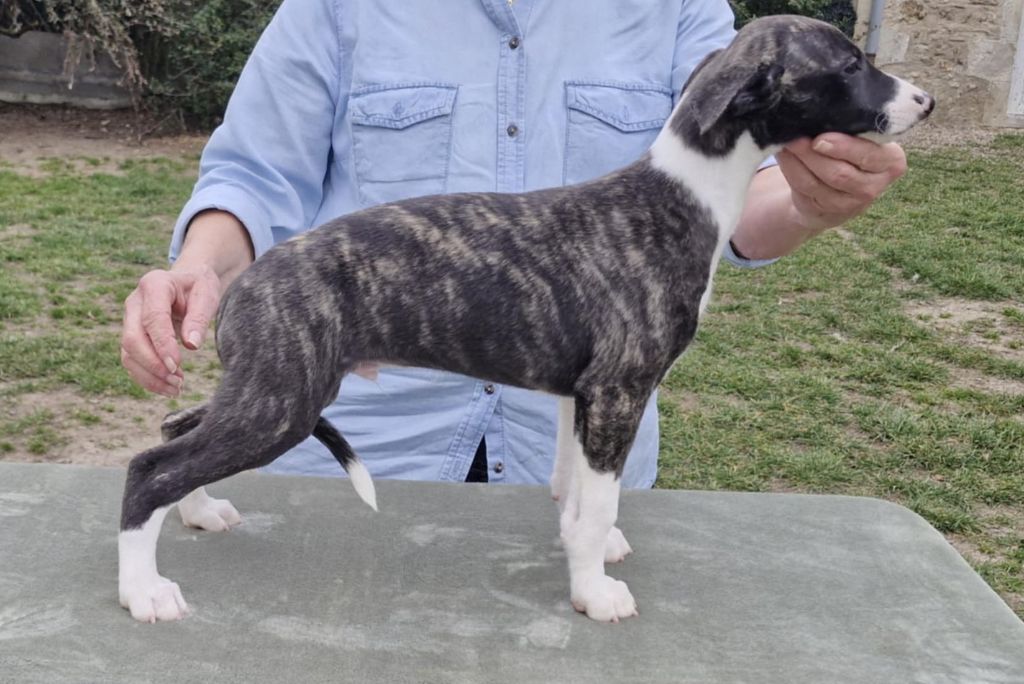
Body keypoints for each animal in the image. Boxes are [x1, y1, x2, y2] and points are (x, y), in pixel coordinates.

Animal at [118, 15, 934, 624]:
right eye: (850, 63)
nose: (926, 101)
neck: (682, 194)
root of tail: (248, 284)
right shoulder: (618, 391)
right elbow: (597, 503)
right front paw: (595, 595)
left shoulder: (583, 397)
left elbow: (576, 496)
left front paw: (587, 555)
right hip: (282, 401)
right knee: (149, 468)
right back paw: (143, 591)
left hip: (263, 387)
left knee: (176, 431)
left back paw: (201, 513)